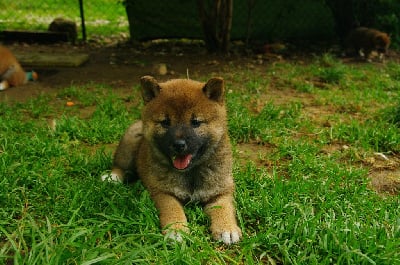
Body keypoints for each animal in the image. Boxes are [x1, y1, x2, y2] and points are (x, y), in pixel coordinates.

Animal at [101, 75, 242, 243]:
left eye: (195, 122)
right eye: (165, 122)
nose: (179, 144)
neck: (190, 173)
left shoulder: (221, 191)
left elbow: (224, 208)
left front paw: (227, 228)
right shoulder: (163, 192)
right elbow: (172, 209)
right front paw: (176, 230)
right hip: (130, 142)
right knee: (120, 165)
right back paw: (113, 177)